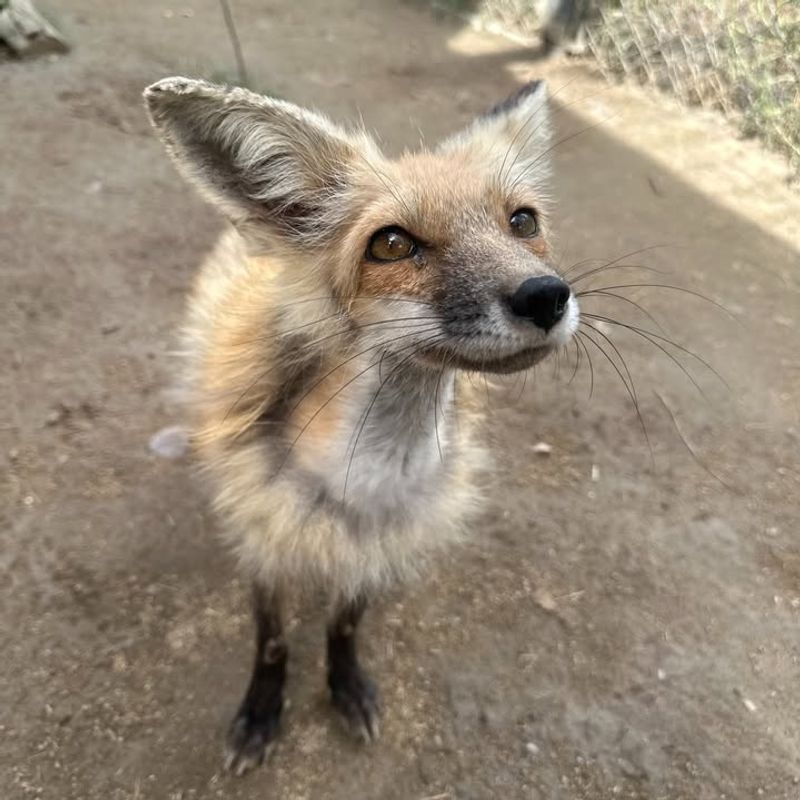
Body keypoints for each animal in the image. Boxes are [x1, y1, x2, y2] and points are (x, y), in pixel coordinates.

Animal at [143, 76, 579, 775]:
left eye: (523, 222)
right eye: (392, 244)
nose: (546, 296)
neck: (370, 478)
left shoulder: (379, 541)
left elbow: (344, 625)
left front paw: (344, 685)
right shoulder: (267, 536)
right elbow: (272, 642)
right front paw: (261, 714)